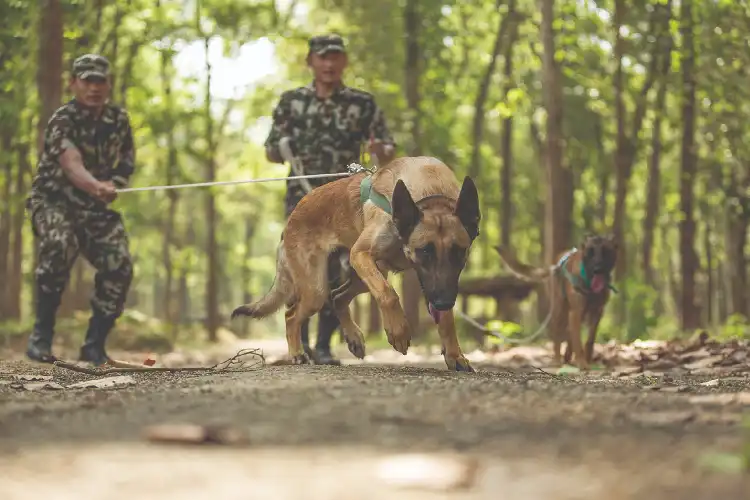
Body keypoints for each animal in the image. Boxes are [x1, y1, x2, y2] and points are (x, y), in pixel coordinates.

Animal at [232, 156, 484, 372]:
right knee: (292, 315)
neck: (431, 194)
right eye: (425, 252)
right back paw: (297, 353)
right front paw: (399, 332)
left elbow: (446, 320)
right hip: (318, 289)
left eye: (459, 252)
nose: (443, 301)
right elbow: (389, 294)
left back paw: (353, 337)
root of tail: (290, 221)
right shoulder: (361, 253)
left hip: (365, 275)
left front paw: (455, 355)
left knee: (337, 297)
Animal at [496, 232, 620, 370]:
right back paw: (557, 360)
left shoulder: (596, 313)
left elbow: (589, 341)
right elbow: (577, 341)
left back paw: (567, 356)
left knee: (570, 333)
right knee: (558, 337)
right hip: (559, 311)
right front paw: (582, 362)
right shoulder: (576, 312)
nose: (597, 269)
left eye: (606, 251)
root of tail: (554, 265)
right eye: (590, 252)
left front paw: (588, 360)